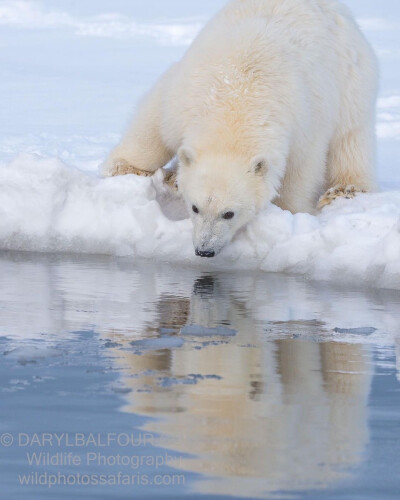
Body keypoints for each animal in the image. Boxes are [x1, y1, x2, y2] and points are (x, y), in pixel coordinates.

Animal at [101, 0, 376, 258]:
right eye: (195, 207)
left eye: (229, 213)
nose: (204, 250)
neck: (237, 98)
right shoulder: (184, 93)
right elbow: (155, 122)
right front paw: (126, 169)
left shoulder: (303, 121)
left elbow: (301, 171)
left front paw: (287, 211)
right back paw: (171, 177)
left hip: (351, 76)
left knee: (350, 138)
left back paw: (343, 191)